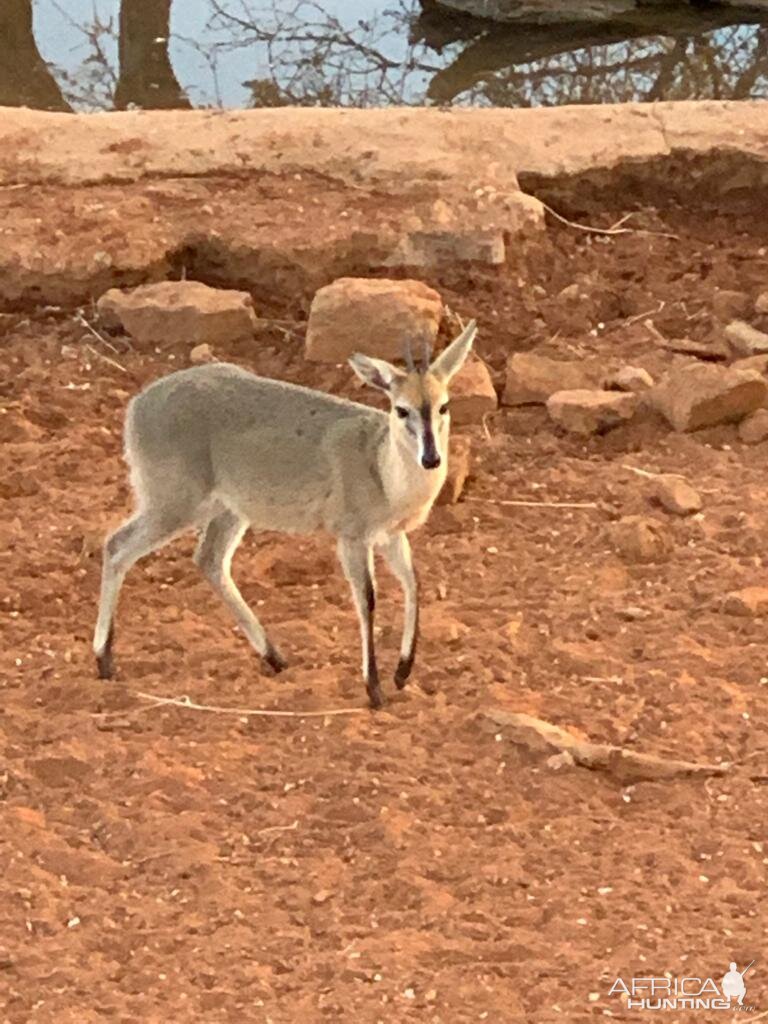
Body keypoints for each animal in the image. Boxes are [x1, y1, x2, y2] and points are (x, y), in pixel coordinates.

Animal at [93, 317, 479, 704]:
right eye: (401, 409)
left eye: (444, 406)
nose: (431, 458)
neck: (381, 467)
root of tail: (136, 406)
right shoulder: (352, 538)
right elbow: (367, 598)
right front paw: (374, 687)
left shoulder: (390, 536)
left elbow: (414, 582)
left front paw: (402, 671)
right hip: (174, 503)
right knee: (116, 546)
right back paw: (103, 659)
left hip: (228, 510)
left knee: (209, 559)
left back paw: (275, 657)